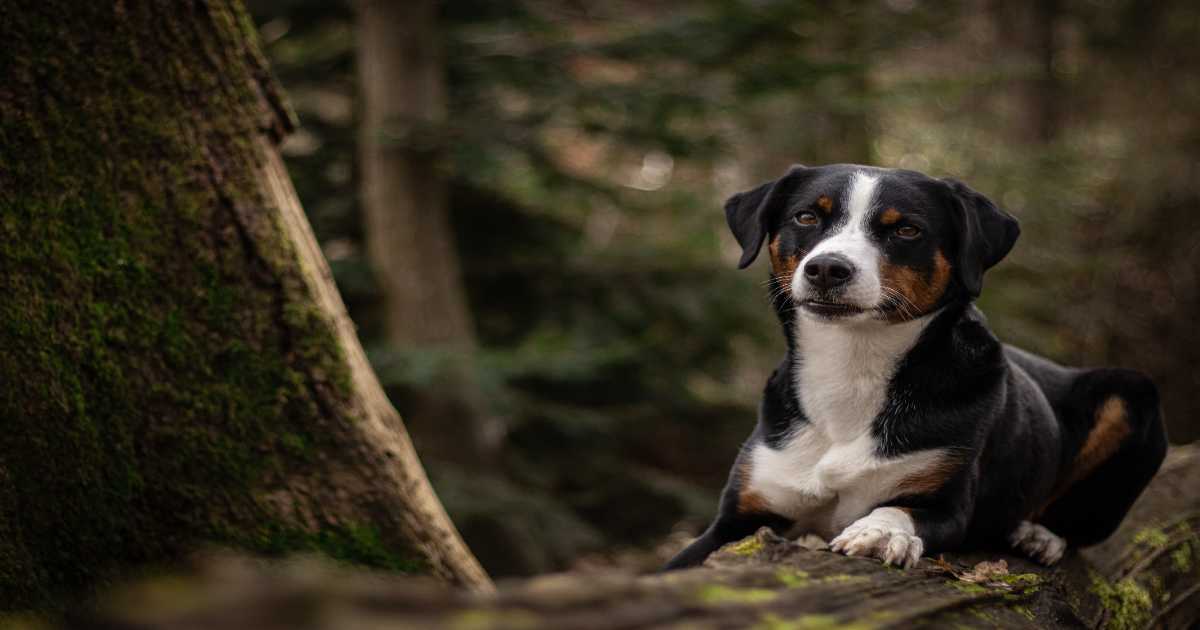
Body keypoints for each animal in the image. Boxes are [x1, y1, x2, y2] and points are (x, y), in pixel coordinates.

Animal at [662, 162, 1166, 568]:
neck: (852, 369)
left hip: (1130, 392)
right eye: (806, 217)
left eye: (905, 230)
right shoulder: (741, 515)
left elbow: (896, 508)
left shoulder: (947, 505)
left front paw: (878, 533)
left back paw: (1038, 536)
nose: (827, 268)